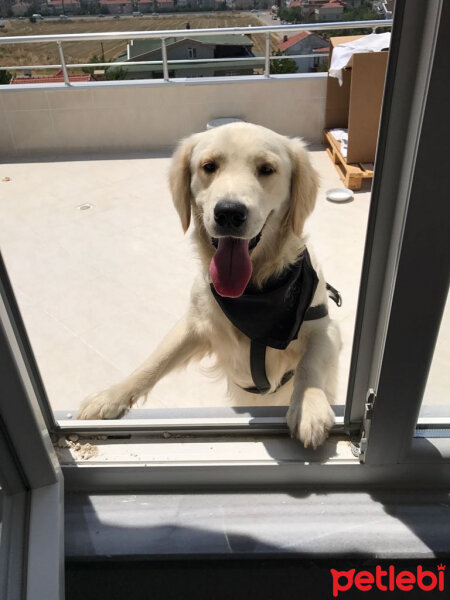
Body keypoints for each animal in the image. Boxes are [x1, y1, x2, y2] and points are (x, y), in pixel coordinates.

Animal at [79, 122, 342, 448]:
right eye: (209, 166)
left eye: (267, 169)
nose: (229, 212)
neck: (252, 293)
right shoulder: (195, 323)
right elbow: (155, 361)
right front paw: (111, 395)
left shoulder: (323, 325)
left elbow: (310, 363)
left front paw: (309, 408)